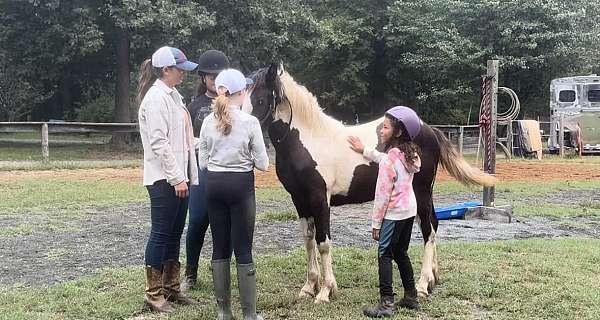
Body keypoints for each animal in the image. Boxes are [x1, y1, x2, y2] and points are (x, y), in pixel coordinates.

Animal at [241, 63, 494, 304]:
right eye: (243, 100)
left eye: (260, 100)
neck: (309, 141)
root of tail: (429, 129)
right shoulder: (299, 199)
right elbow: (308, 240)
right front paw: (308, 287)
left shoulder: (320, 199)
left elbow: (323, 242)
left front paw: (325, 291)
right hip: (423, 194)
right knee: (432, 224)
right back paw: (433, 279)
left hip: (421, 191)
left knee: (428, 230)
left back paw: (422, 286)